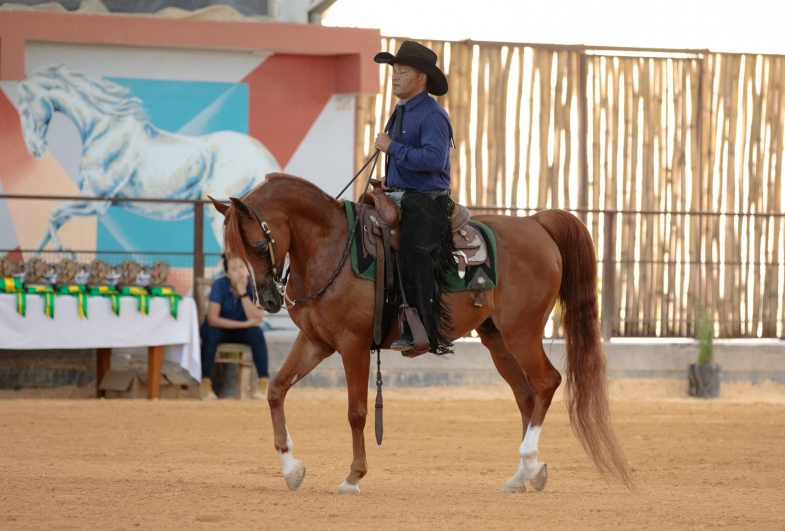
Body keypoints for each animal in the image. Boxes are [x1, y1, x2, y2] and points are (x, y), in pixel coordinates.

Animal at [16, 64, 279, 251]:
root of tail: (260, 153)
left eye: (26, 109)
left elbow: (53, 213)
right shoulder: (89, 199)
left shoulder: (96, 201)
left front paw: (65, 252)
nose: (36, 149)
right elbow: (49, 227)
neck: (104, 130)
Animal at [210, 173, 632, 495]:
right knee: (526, 396)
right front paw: (292, 469)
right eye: (233, 252)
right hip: (497, 339)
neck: (331, 248)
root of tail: (536, 222)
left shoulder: (352, 345)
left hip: (522, 332)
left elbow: (357, 411)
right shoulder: (316, 342)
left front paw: (353, 477)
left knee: (547, 383)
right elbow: (276, 390)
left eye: (258, 244)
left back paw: (529, 462)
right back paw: (523, 475)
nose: (267, 299)